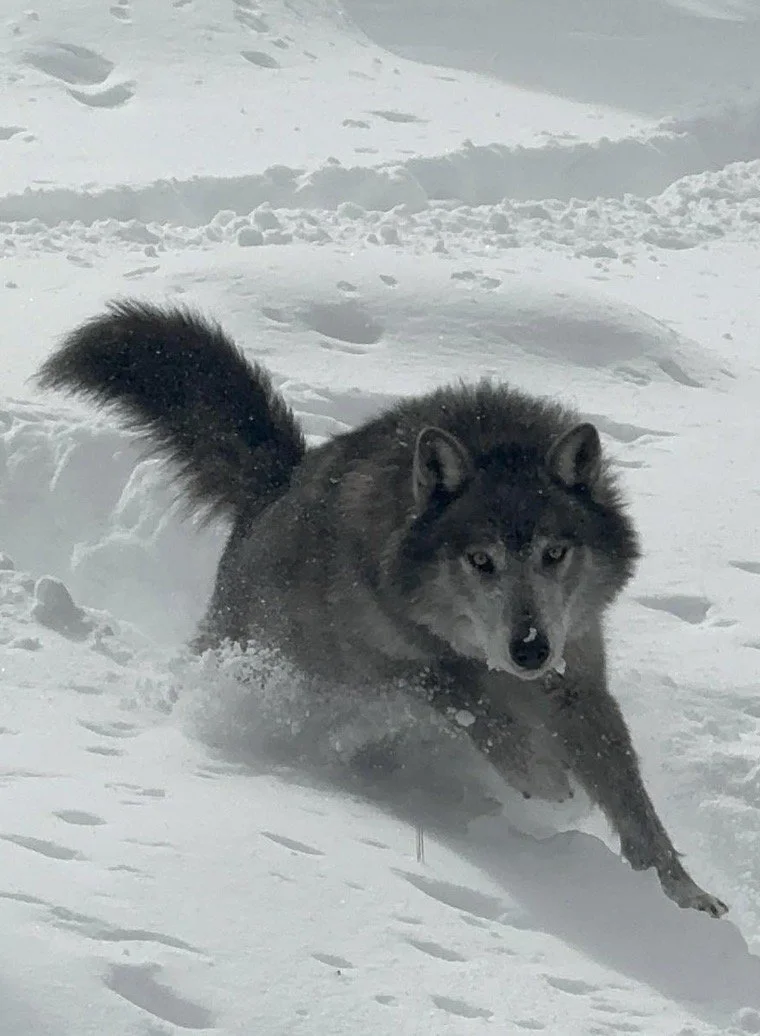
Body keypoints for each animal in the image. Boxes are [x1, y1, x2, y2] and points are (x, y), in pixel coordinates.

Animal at [36, 299, 727, 918]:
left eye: (554, 553)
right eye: (481, 560)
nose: (530, 649)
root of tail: (275, 484)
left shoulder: (577, 677)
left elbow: (633, 800)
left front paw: (685, 899)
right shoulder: (388, 664)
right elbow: (464, 693)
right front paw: (545, 781)